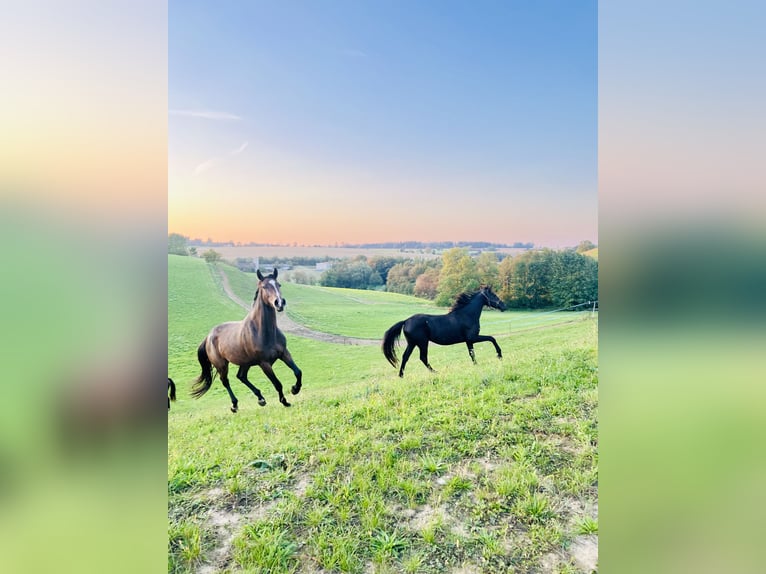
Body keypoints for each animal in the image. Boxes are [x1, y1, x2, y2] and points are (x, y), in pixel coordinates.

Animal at [189, 270, 304, 414]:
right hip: (222, 365)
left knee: (241, 376)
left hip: (245, 362)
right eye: (264, 287)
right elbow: (277, 383)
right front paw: (285, 401)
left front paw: (295, 389)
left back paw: (261, 399)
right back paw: (235, 405)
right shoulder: (264, 363)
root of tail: (208, 336)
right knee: (225, 381)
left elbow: (298, 372)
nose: (279, 303)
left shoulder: (284, 353)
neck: (263, 332)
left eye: (279, 284)